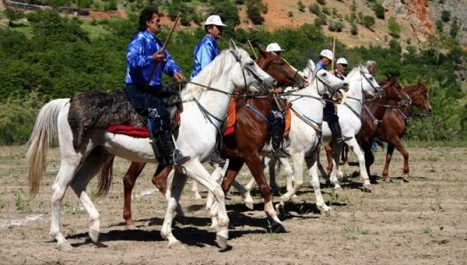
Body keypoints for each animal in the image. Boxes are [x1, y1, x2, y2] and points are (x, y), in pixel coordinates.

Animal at [27, 39, 276, 250]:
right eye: (250, 63)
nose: (271, 82)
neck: (201, 112)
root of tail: (66, 103)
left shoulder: (182, 168)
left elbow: (174, 201)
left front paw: (170, 236)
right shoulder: (194, 164)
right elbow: (217, 190)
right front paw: (222, 233)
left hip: (97, 155)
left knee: (78, 184)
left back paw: (95, 229)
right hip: (72, 157)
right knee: (58, 190)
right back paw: (61, 239)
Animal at [119, 48, 306, 229]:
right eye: (280, 62)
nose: (302, 79)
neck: (251, 112)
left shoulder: (237, 158)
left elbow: (225, 185)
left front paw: (217, 215)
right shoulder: (250, 155)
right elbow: (263, 186)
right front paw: (273, 217)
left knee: (158, 179)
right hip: (143, 157)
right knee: (131, 180)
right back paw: (131, 219)